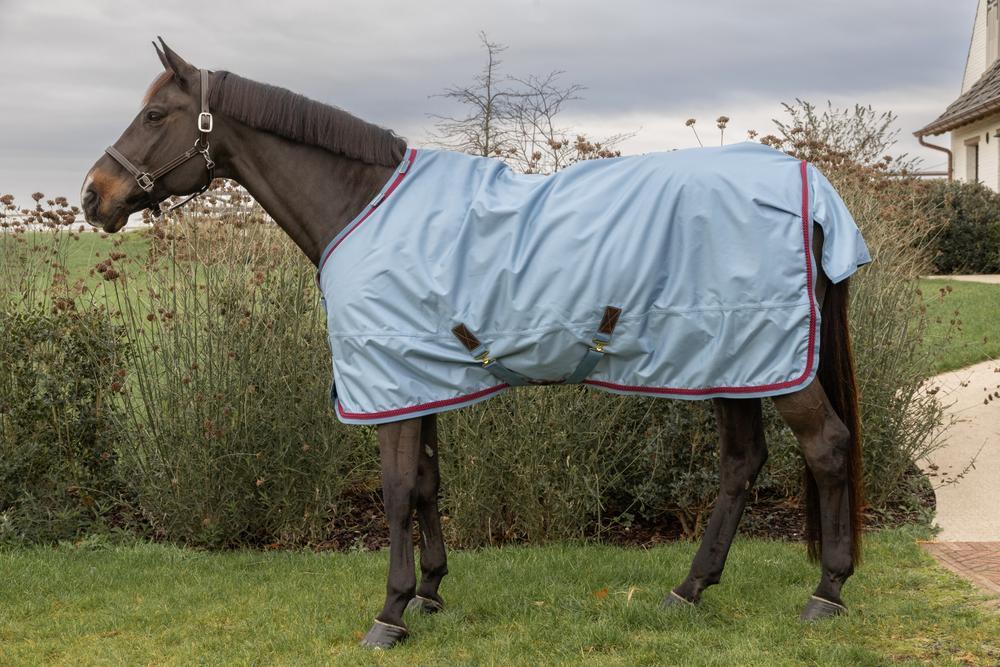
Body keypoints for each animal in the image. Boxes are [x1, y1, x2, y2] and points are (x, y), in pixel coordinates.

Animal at [82, 39, 867, 649]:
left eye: (156, 114)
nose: (94, 195)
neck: (361, 204)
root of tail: (809, 184)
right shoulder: (415, 377)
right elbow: (429, 482)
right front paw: (430, 592)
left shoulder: (389, 380)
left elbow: (397, 490)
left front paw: (390, 612)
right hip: (730, 361)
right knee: (742, 463)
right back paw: (689, 589)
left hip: (768, 362)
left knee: (826, 447)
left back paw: (826, 592)